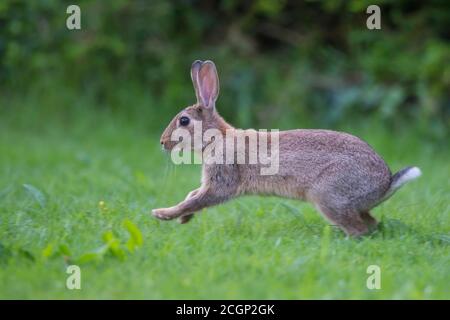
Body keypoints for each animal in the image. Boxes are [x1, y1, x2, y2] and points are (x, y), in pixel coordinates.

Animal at [152, 60, 422, 236]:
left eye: (183, 121)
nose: (163, 142)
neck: (216, 138)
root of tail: (385, 184)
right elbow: (193, 196)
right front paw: (183, 219)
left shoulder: (223, 179)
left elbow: (198, 200)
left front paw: (163, 214)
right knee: (370, 223)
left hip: (329, 196)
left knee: (359, 229)